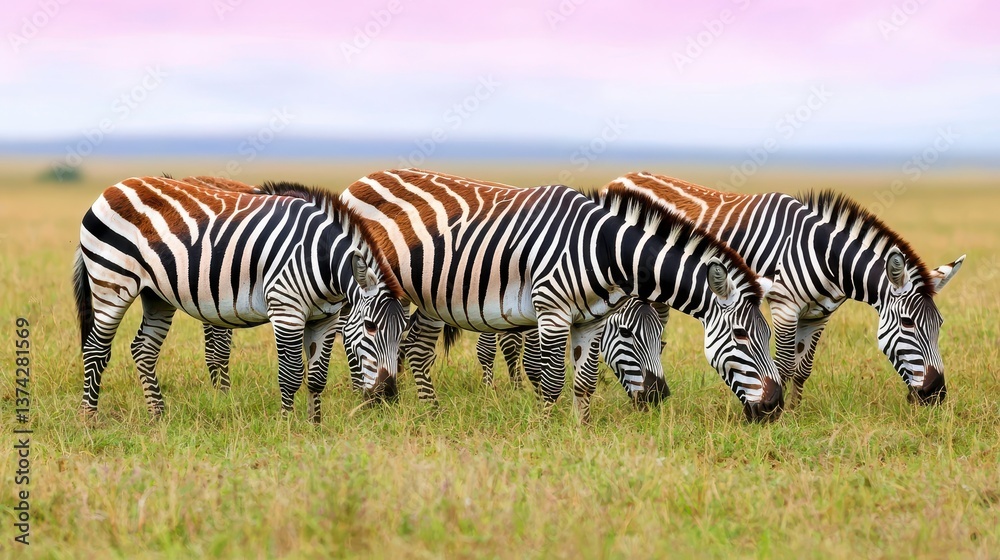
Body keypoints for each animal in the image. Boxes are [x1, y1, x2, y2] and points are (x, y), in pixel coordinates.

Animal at [74, 176, 407, 422]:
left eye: (402, 332)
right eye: (370, 326)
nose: (389, 394)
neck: (322, 261)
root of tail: (113, 187)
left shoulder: (325, 318)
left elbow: (316, 377)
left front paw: (315, 426)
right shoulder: (286, 310)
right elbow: (291, 374)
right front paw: (287, 427)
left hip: (156, 294)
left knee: (143, 350)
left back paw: (158, 415)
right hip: (111, 282)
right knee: (95, 349)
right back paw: (89, 417)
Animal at [337, 169, 783, 422]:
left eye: (664, 342)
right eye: (742, 337)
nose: (774, 407)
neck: (603, 251)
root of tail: (362, 178)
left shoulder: (591, 320)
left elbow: (583, 382)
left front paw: (581, 432)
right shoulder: (550, 312)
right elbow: (550, 380)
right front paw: (545, 432)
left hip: (426, 296)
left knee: (415, 347)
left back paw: (430, 414)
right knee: (351, 330)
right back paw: (368, 398)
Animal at [614, 171, 964, 407]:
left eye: (940, 325)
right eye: (908, 324)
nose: (936, 394)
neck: (825, 256)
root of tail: (625, 176)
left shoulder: (818, 315)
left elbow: (803, 367)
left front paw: (796, 410)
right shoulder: (785, 307)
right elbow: (783, 365)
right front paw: (781, 414)